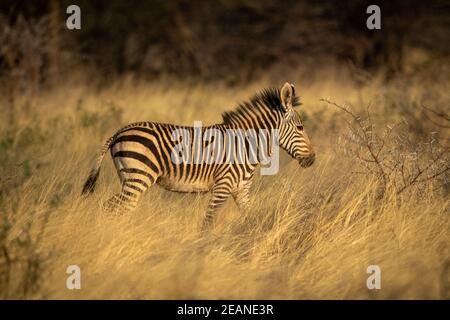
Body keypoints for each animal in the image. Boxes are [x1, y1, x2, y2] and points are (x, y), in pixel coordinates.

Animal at [81, 82, 314, 230]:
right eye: (300, 128)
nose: (312, 160)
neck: (246, 145)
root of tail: (119, 131)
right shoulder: (223, 186)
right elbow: (207, 224)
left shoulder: (241, 191)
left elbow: (251, 218)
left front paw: (254, 239)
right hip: (138, 178)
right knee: (116, 208)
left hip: (129, 178)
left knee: (111, 207)